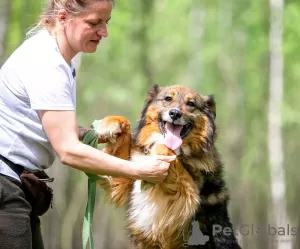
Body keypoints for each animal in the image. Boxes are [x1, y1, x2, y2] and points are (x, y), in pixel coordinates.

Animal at [95, 84, 243, 248]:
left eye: (191, 104)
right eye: (168, 99)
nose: (175, 113)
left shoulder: (184, 203)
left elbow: (174, 161)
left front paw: (160, 154)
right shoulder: (124, 178)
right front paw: (110, 123)